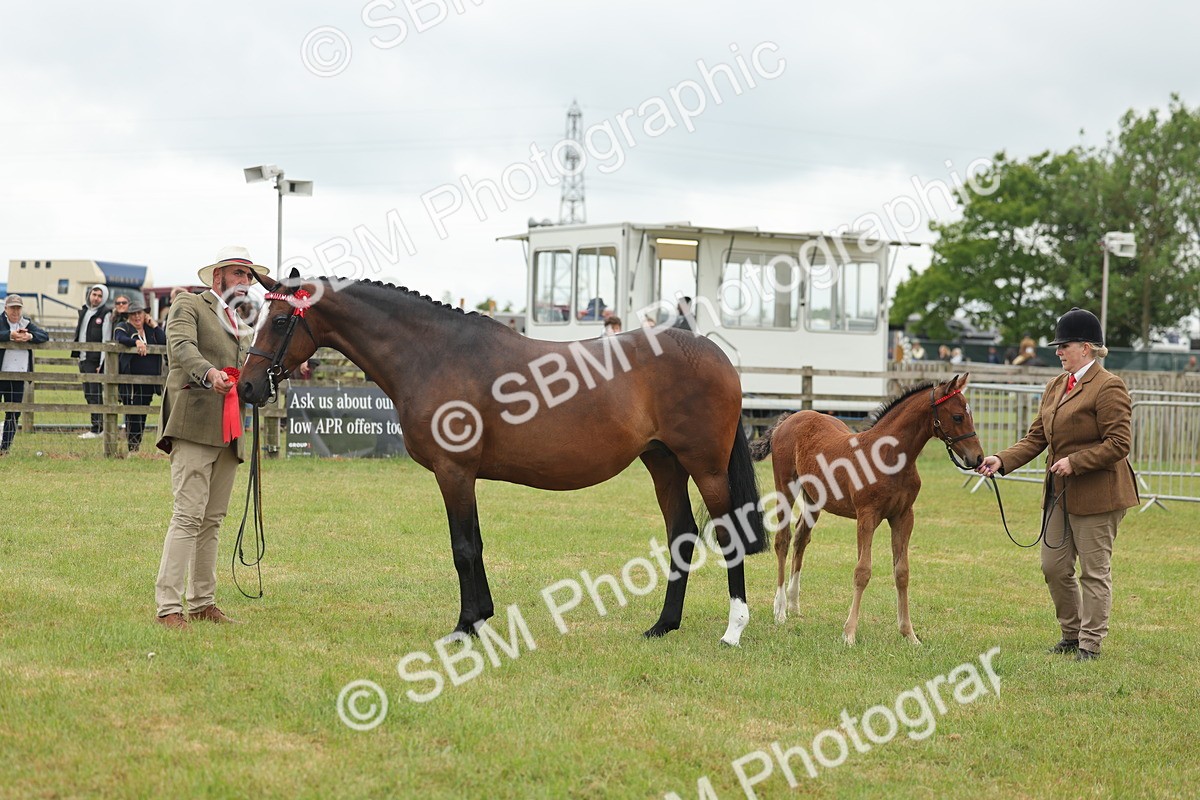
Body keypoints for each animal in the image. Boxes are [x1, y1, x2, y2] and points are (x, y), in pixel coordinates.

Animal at [237, 272, 766, 645]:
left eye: (280, 321)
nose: (246, 387)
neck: (435, 354)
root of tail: (715, 354)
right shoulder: (462, 476)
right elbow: (474, 544)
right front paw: (480, 620)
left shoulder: (453, 473)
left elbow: (463, 549)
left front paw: (464, 626)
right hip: (663, 464)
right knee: (682, 534)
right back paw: (662, 626)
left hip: (705, 467)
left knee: (727, 534)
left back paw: (733, 629)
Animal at [749, 374, 983, 645]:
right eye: (957, 416)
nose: (978, 458)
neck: (890, 455)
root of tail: (788, 419)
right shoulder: (867, 516)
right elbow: (862, 571)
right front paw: (849, 633)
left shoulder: (904, 516)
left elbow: (902, 572)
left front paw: (909, 633)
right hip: (785, 487)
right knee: (783, 540)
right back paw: (780, 609)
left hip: (814, 498)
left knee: (801, 539)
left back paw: (794, 604)